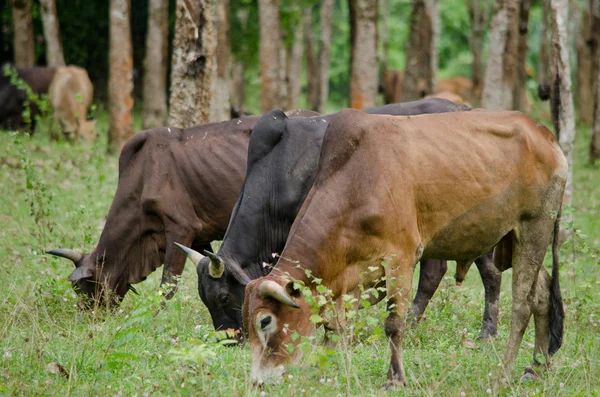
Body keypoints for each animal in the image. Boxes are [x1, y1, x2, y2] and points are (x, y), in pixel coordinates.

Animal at [175, 96, 502, 340]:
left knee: (486, 273)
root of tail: (465, 110)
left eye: (223, 297)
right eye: (205, 299)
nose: (230, 340)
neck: (278, 172)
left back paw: (485, 332)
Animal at [244, 109, 568, 386]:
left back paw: (504, 374)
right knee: (541, 296)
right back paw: (535, 368)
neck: (356, 181)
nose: (259, 381)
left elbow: (393, 324)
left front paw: (394, 378)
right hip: (513, 239)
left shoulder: (400, 258)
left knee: (522, 305)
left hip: (535, 228)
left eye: (265, 321)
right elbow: (334, 330)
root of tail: (543, 133)